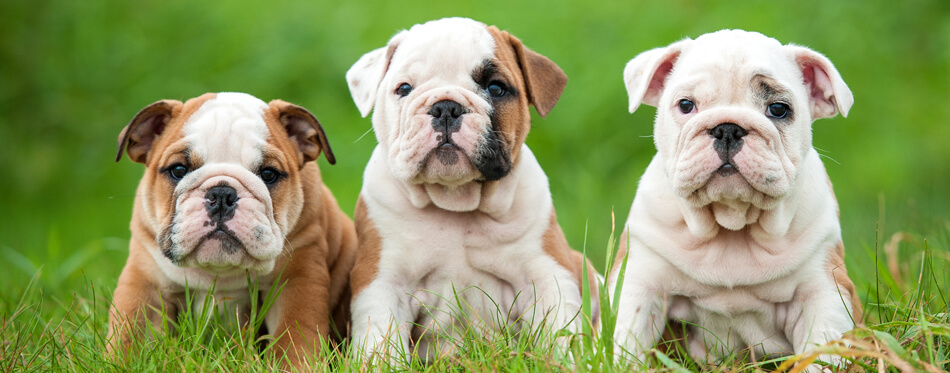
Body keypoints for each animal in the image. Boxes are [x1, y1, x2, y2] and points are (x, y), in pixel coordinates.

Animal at [110, 91, 356, 368]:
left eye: (268, 174)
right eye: (178, 170)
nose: (221, 194)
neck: (220, 272)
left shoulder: (297, 280)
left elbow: (293, 337)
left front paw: (293, 366)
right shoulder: (146, 283)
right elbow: (130, 333)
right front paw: (121, 362)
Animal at [346, 17, 600, 364]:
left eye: (496, 88)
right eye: (404, 89)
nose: (446, 108)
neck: (456, 201)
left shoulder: (548, 274)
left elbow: (560, 334)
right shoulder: (383, 283)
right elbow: (380, 341)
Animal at [612, 29, 868, 370]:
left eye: (778, 109)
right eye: (686, 105)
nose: (727, 129)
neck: (731, 223)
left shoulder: (823, 289)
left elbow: (824, 351)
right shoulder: (639, 281)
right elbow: (626, 340)